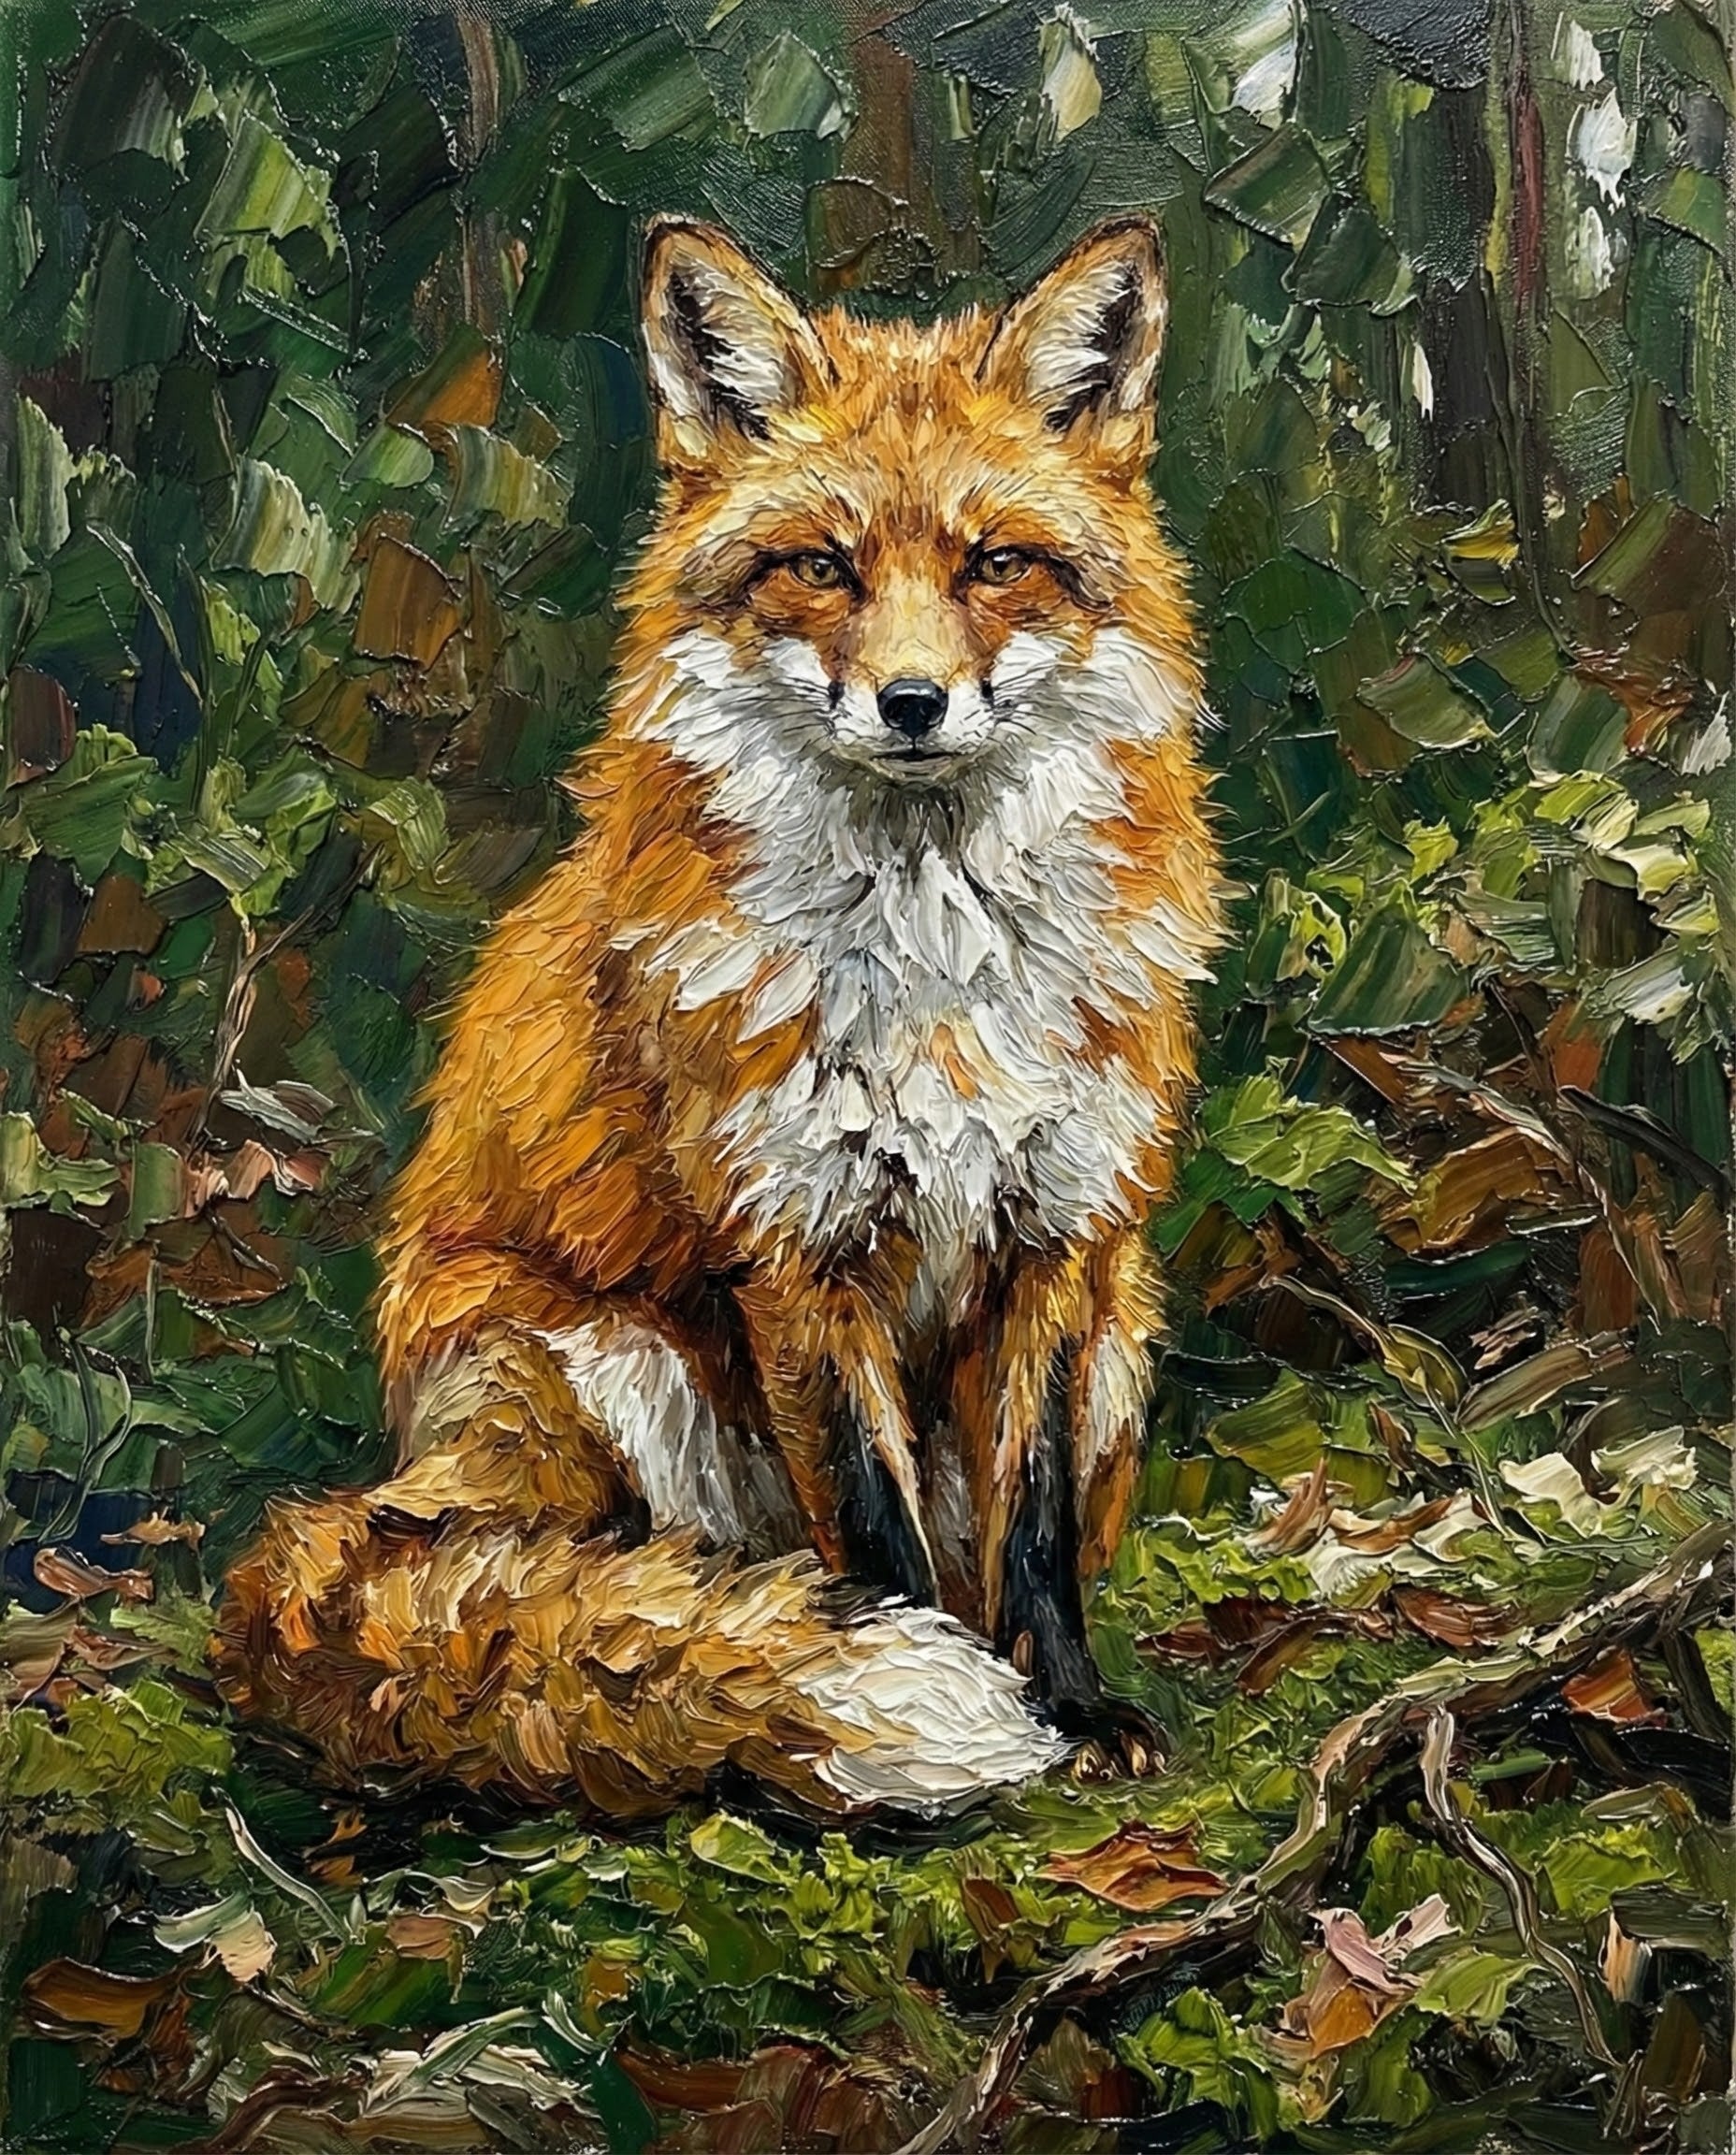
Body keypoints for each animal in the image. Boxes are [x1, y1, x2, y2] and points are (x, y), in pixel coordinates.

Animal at [216, 215, 1226, 1822]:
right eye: (820, 566)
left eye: (998, 563)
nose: (912, 702)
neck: (935, 970)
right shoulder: (797, 1245)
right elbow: (875, 1537)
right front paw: (916, 1682)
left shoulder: (1060, 1238)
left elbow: (1034, 1528)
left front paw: (1069, 1703)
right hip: (606, 1373)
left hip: (1129, 1337)